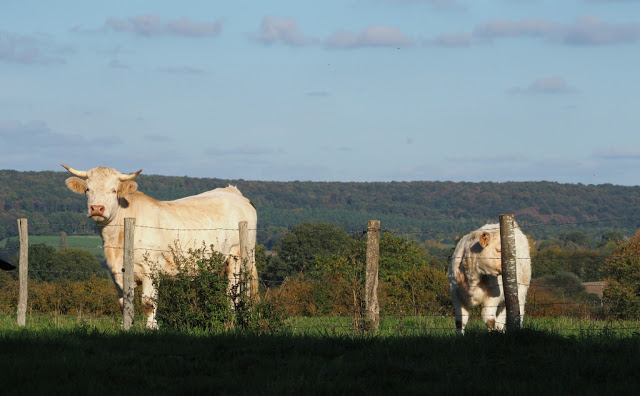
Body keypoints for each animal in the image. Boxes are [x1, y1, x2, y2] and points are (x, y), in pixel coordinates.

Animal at [62, 164, 258, 328]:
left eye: (114, 190)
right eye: (88, 189)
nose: (97, 208)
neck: (116, 239)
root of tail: (234, 192)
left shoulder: (151, 268)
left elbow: (148, 302)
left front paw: (152, 327)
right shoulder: (115, 272)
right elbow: (124, 303)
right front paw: (126, 325)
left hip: (239, 257)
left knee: (235, 291)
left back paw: (232, 319)